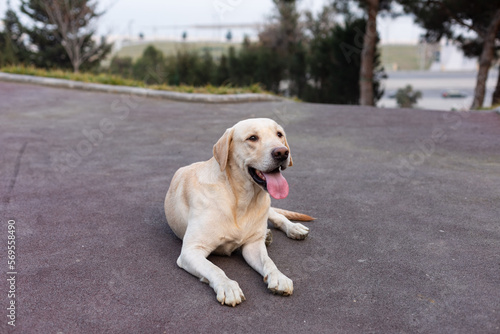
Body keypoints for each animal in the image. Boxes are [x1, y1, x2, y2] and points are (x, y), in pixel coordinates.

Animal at [164, 118, 312, 306]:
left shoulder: (253, 246)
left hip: (267, 205)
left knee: (277, 216)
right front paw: (228, 286)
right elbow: (215, 268)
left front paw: (278, 277)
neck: (240, 199)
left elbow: (269, 262)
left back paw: (292, 228)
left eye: (279, 134)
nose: (282, 152)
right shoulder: (191, 250)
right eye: (252, 138)